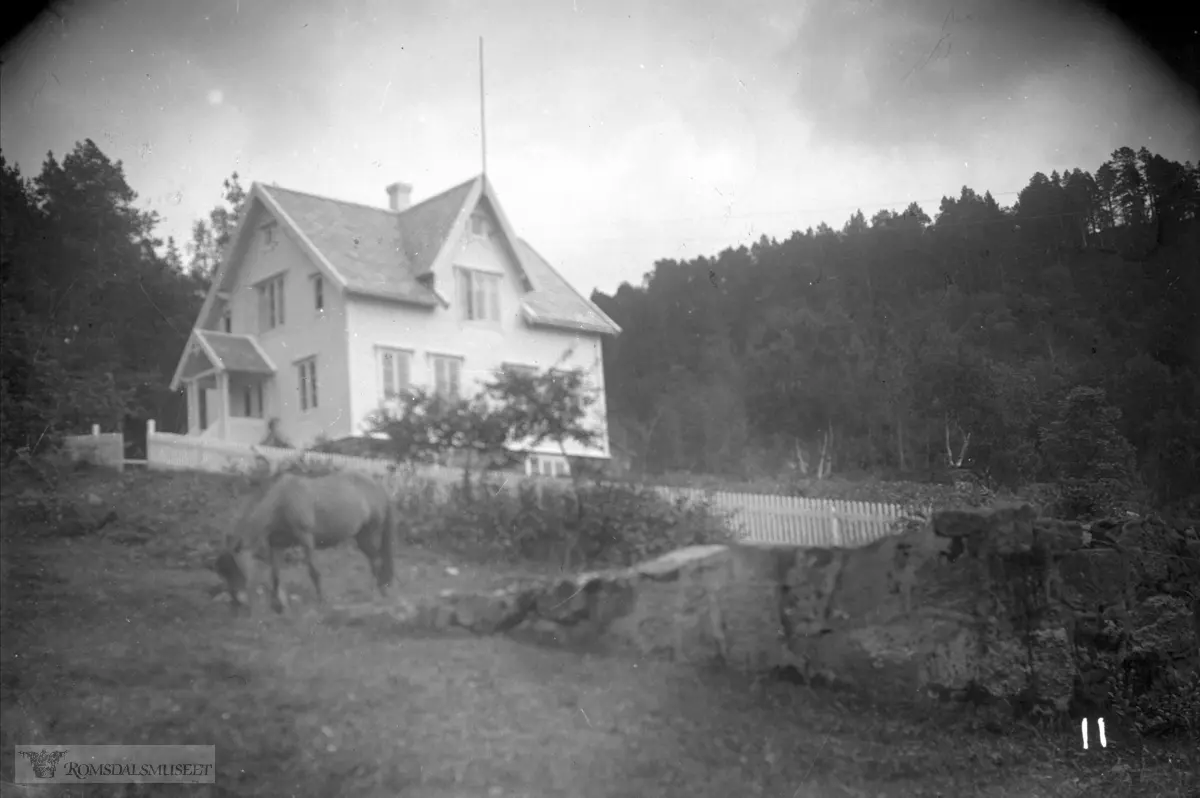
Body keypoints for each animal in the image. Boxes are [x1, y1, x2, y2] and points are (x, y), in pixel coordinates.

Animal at [216, 470, 398, 612]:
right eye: (223, 572)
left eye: (235, 569)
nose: (237, 603)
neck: (283, 501)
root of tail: (379, 487)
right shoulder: (276, 545)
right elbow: (275, 575)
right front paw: (278, 605)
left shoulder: (306, 539)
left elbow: (313, 572)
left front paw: (321, 601)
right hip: (361, 537)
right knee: (375, 560)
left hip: (370, 533)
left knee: (377, 561)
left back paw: (376, 594)